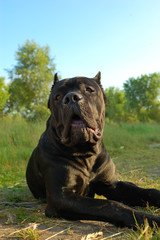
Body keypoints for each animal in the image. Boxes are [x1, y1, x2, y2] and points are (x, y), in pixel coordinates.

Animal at [26, 72, 160, 229]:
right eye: (57, 97)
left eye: (89, 90)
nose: (71, 98)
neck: (85, 153)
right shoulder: (61, 197)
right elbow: (110, 205)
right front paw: (151, 221)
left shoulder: (112, 185)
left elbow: (148, 192)